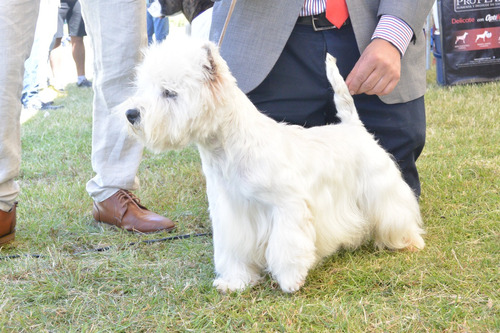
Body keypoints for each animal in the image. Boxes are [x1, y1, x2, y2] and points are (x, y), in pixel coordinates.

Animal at [126, 35, 426, 292]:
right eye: (144, 87)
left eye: (169, 92)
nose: (131, 113)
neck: (228, 149)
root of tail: (353, 126)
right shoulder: (229, 213)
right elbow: (232, 250)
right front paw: (235, 281)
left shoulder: (287, 205)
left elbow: (287, 245)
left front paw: (291, 279)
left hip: (379, 186)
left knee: (397, 212)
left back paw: (409, 241)